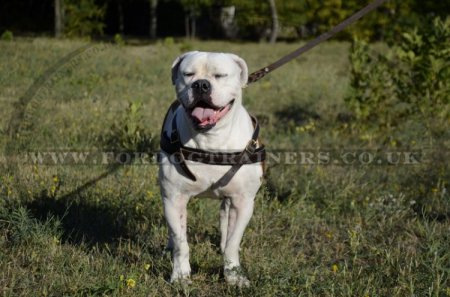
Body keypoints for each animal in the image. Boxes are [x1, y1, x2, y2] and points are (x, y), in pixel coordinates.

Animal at [158, 51, 264, 284]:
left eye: (220, 75)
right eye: (188, 74)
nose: (201, 84)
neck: (211, 138)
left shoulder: (243, 202)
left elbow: (233, 242)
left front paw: (233, 275)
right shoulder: (174, 198)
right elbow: (181, 242)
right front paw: (180, 276)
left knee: (225, 219)